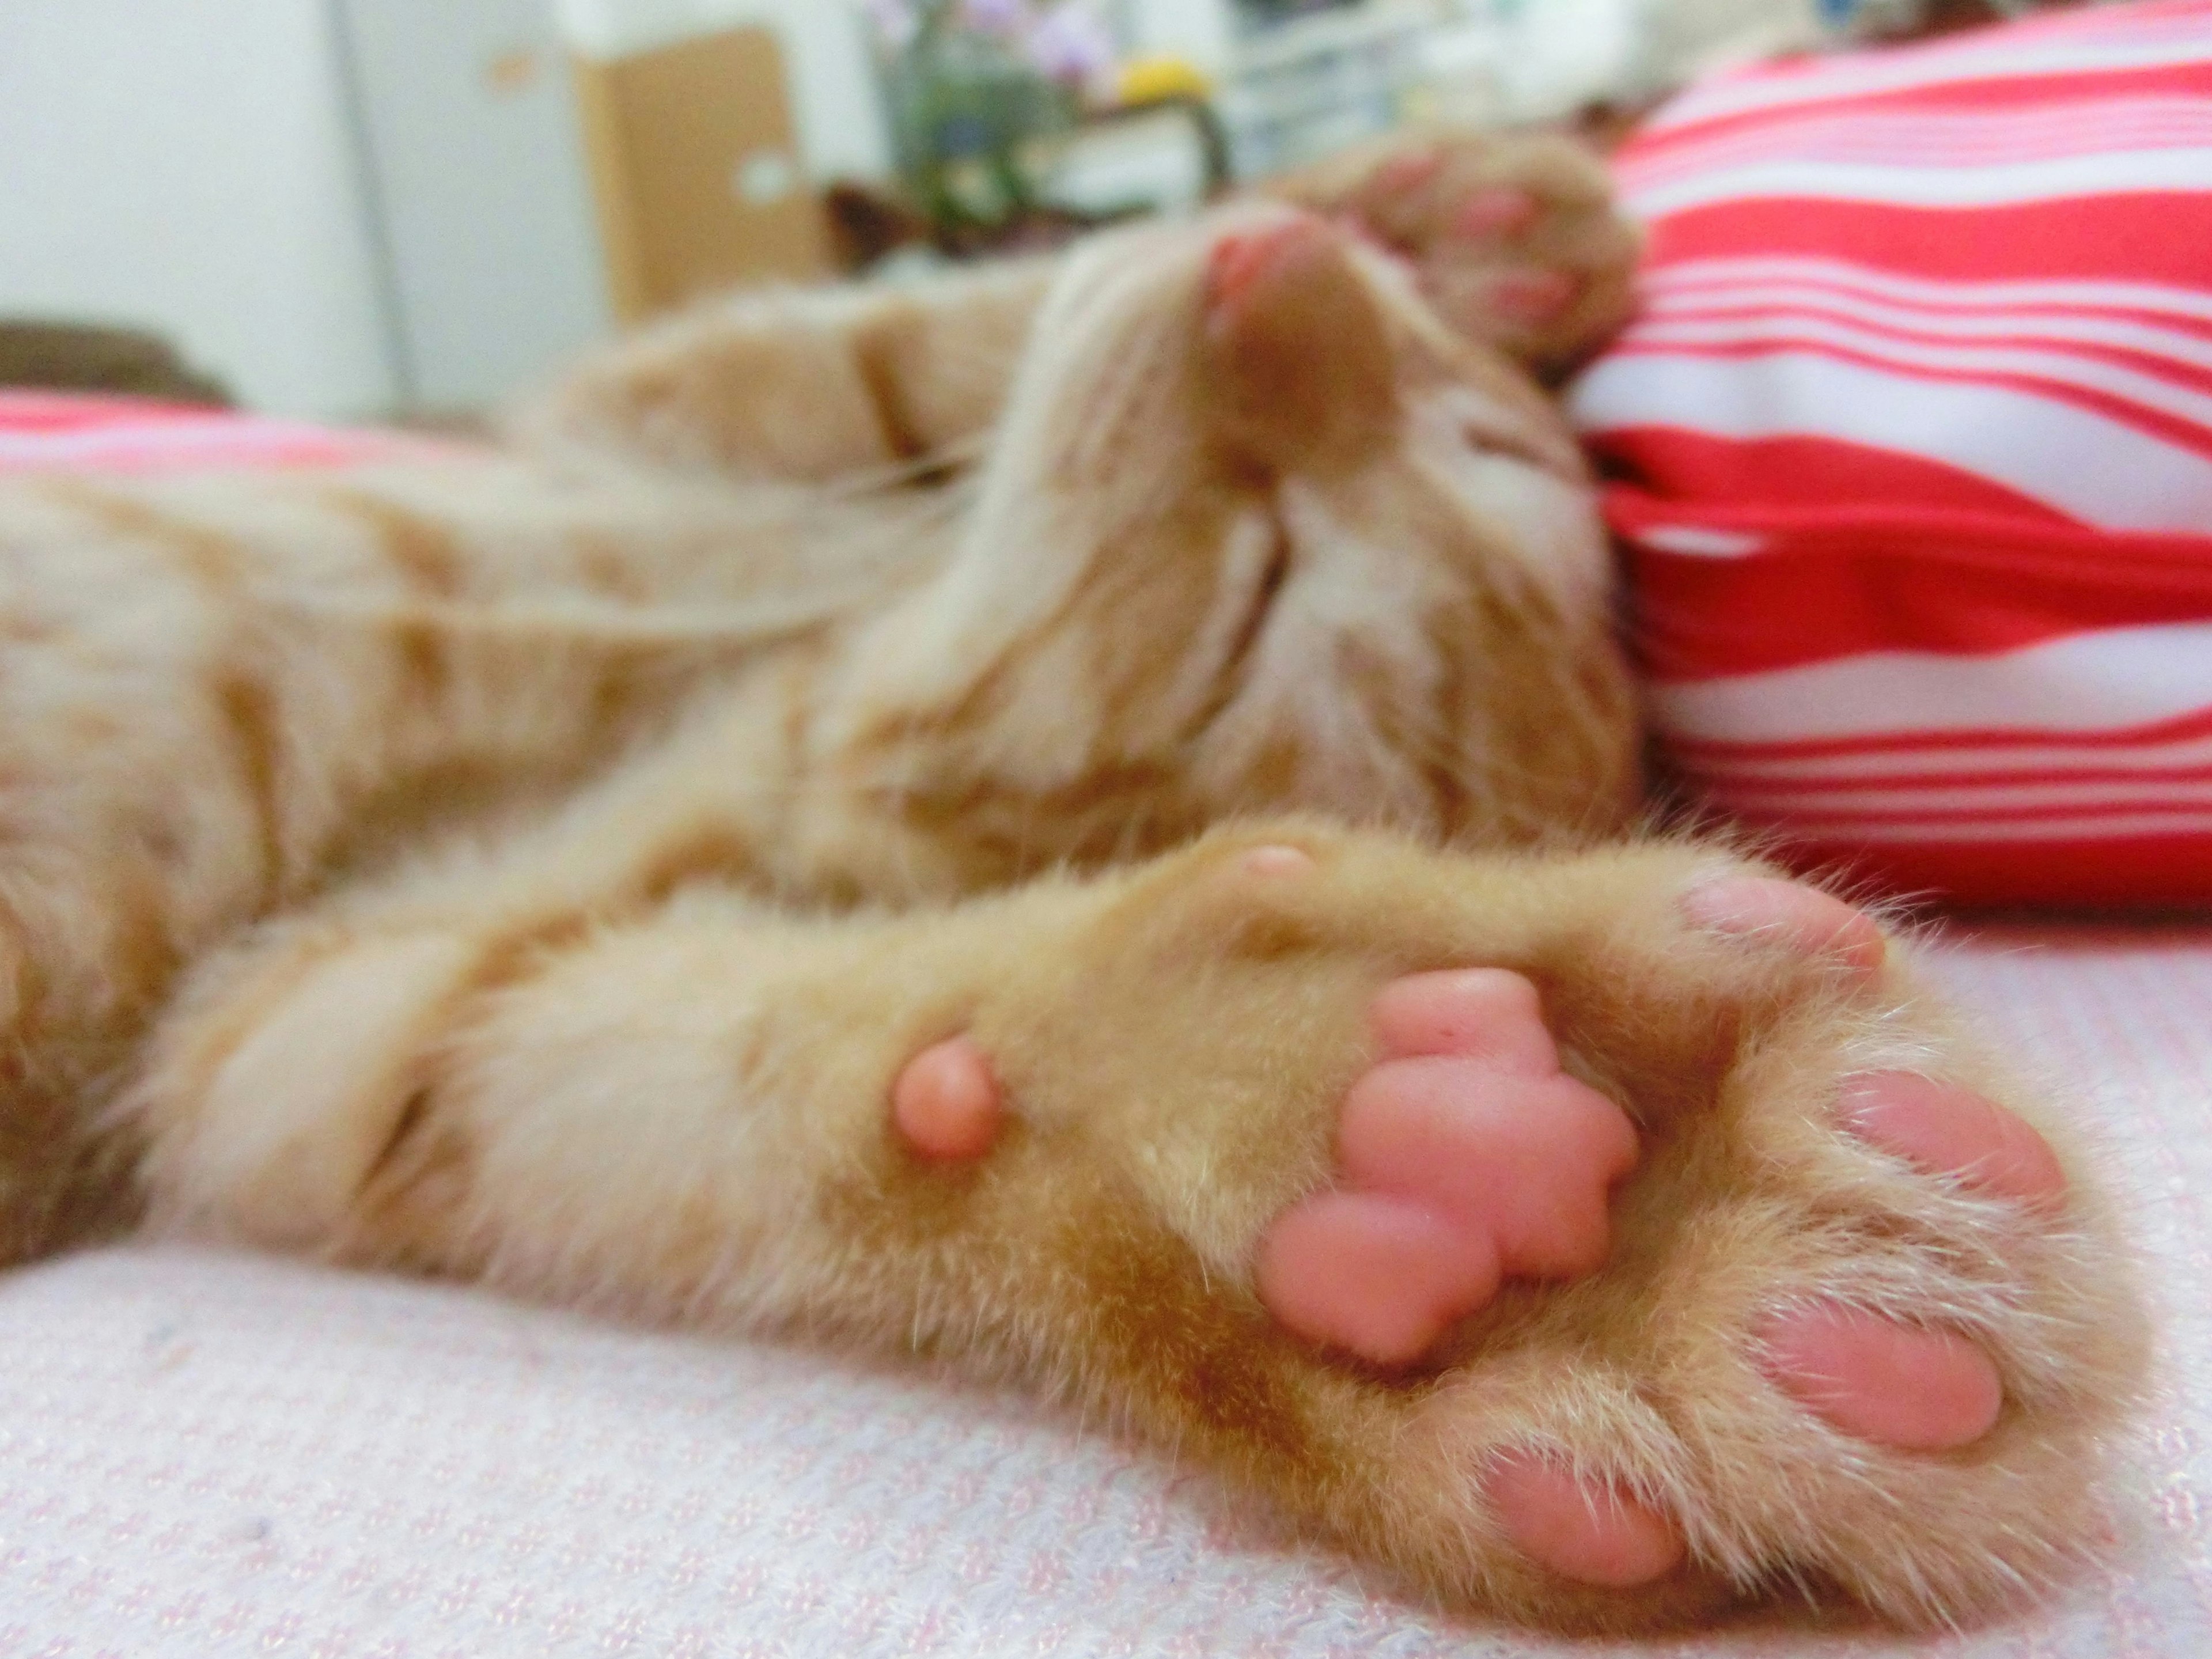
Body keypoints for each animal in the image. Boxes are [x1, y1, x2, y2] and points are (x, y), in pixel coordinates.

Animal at [0, 133, 2141, 1637]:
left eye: (1265, 589)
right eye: (1470, 432)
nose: (1283, 281)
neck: (749, 677)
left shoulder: (296, 1029)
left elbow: (719, 1064)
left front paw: (1411, 1157)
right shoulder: (621, 431)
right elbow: (869, 340)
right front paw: (1447, 211)